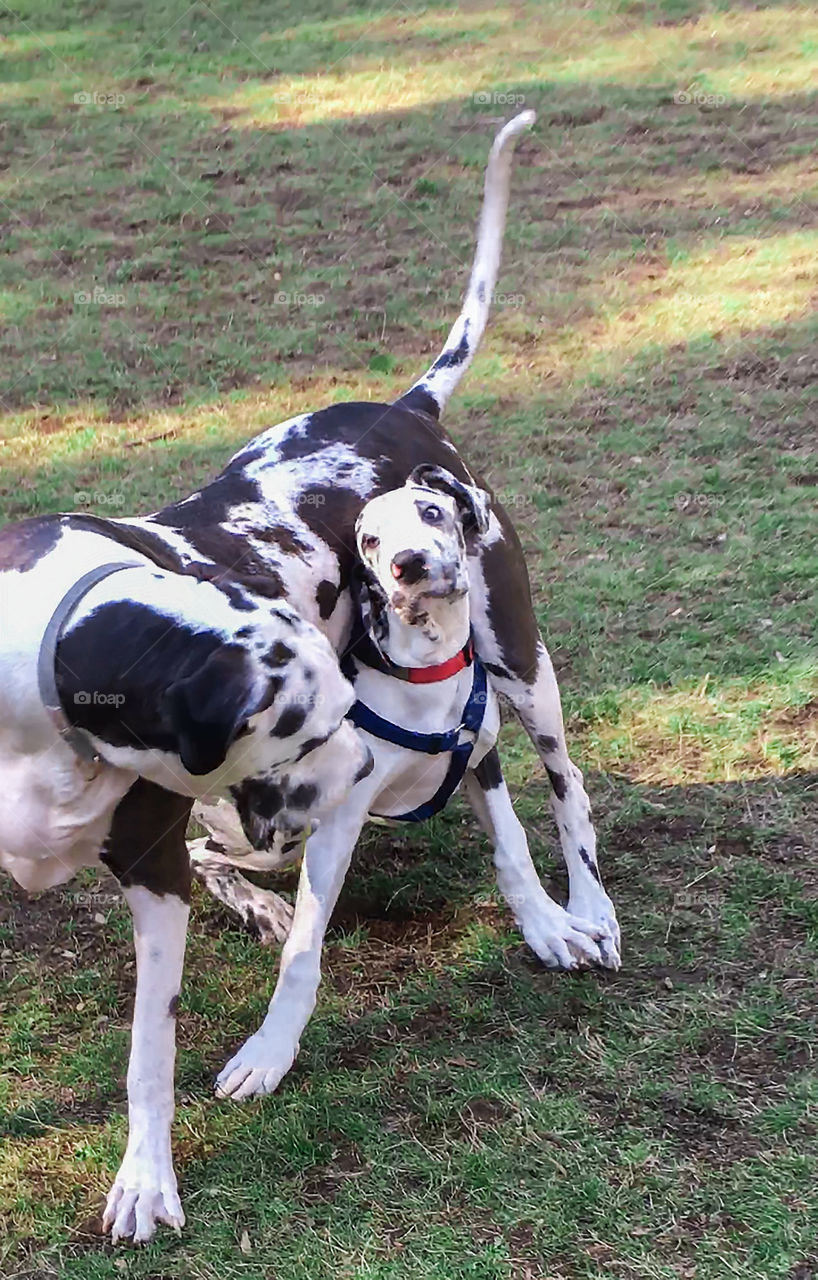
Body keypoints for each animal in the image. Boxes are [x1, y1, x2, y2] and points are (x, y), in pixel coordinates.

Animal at [0, 104, 614, 1244]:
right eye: (288, 720)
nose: (358, 777)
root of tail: (402, 406)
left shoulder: (163, 867)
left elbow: (150, 1052)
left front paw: (146, 1178)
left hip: (516, 678)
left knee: (561, 793)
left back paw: (579, 912)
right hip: (270, 823)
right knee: (246, 856)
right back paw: (267, 903)